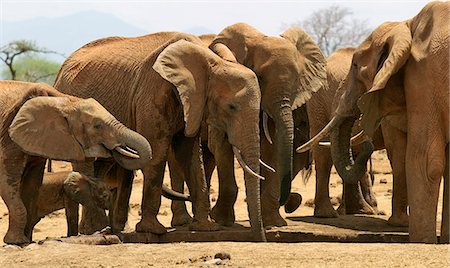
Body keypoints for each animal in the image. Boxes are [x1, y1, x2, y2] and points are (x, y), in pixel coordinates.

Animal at [0, 80, 151, 244]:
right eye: (97, 126)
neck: (63, 100)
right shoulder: (7, 134)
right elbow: (8, 180)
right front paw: (16, 241)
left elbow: (32, 184)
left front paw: (26, 241)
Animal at [55, 31, 268, 241]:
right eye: (231, 107)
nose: (261, 238)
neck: (210, 61)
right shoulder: (153, 92)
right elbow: (156, 153)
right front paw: (153, 230)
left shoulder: (192, 104)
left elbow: (189, 155)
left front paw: (206, 228)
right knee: (86, 163)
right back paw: (95, 230)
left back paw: (106, 228)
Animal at [207, 23, 326, 228]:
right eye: (259, 78)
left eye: (296, 80)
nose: (286, 201)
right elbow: (221, 145)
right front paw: (222, 220)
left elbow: (276, 148)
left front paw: (274, 223)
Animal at [298, 1, 448, 243]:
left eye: (356, 66)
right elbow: (401, 153)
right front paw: (400, 225)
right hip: (318, 100)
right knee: (325, 153)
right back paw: (330, 215)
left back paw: (361, 211)